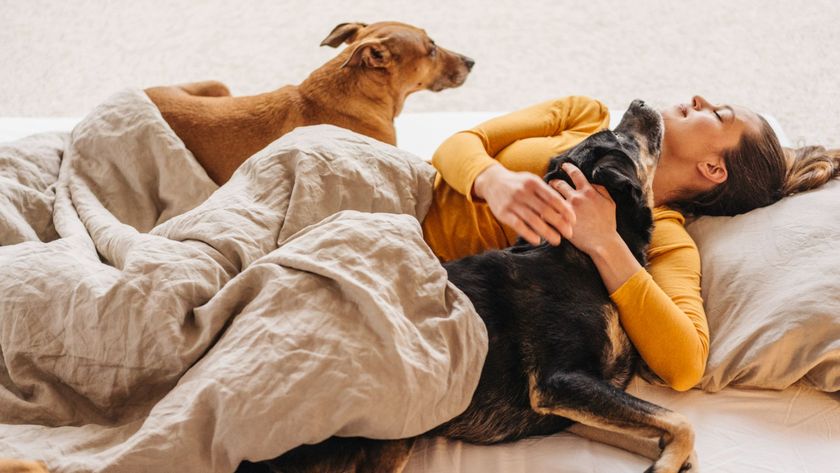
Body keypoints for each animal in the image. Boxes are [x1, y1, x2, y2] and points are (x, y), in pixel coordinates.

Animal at [238, 99, 696, 472]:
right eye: (618, 137)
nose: (639, 100)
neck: (580, 253)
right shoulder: (560, 382)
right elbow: (681, 421)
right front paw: (665, 465)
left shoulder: (571, 412)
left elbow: (660, 428)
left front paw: (668, 456)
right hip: (395, 431)